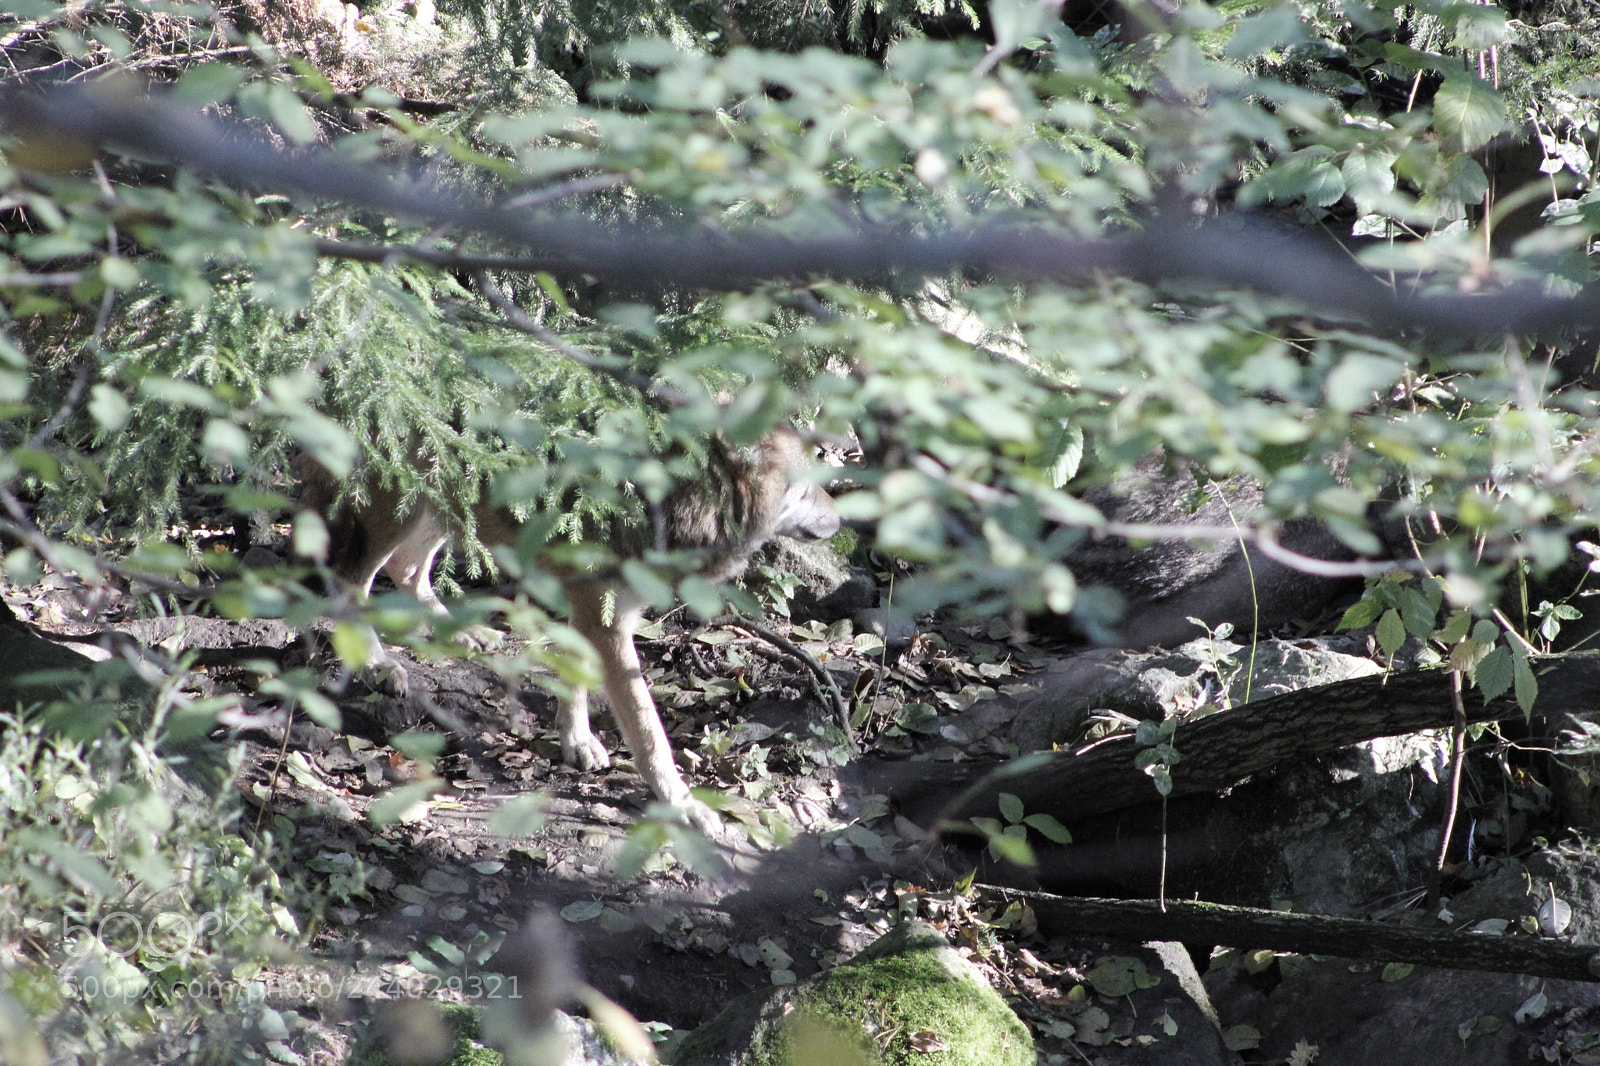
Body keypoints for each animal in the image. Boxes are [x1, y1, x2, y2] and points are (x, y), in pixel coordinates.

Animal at [302, 429, 839, 832]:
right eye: (808, 480)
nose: (841, 519)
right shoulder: (604, 618)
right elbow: (648, 732)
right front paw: (683, 805)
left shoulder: (598, 612)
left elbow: (575, 683)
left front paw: (577, 743)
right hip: (399, 506)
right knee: (353, 582)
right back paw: (377, 662)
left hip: (446, 501)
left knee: (409, 568)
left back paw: (464, 634)